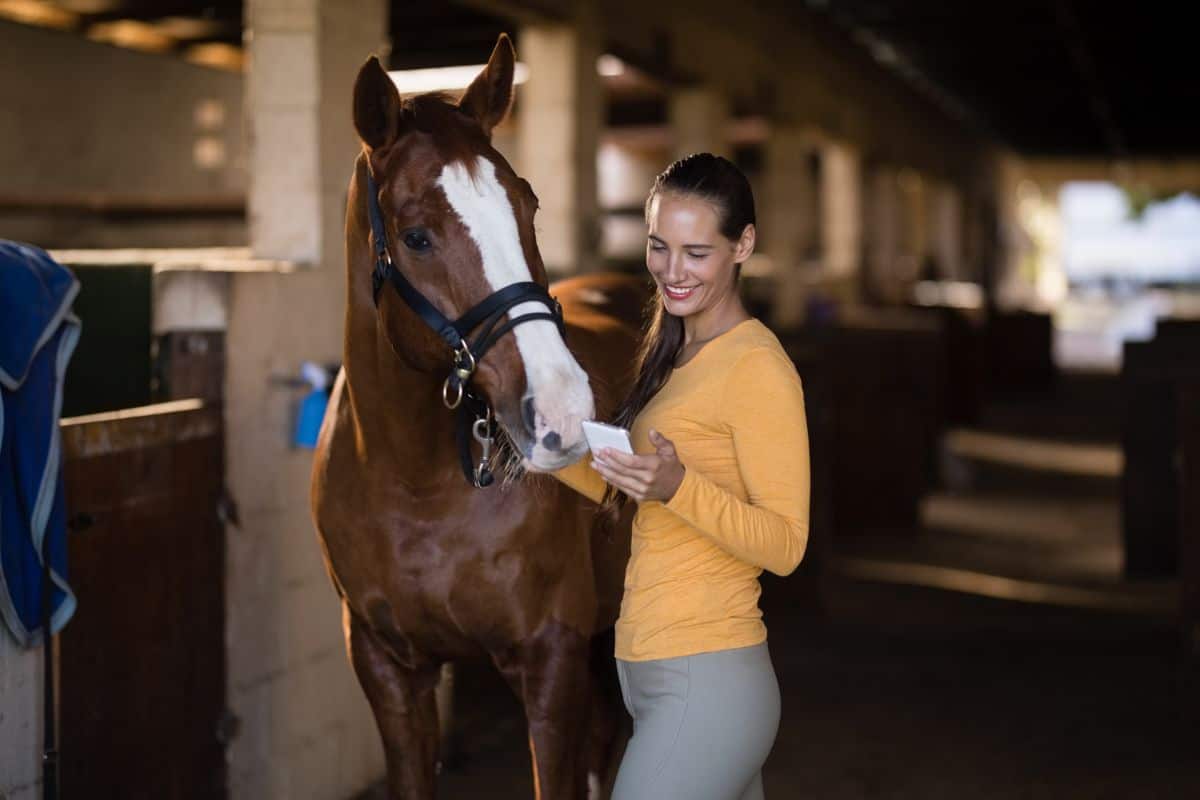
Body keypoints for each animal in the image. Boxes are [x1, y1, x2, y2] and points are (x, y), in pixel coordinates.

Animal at [312, 34, 648, 796]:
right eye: (415, 236)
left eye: (529, 205)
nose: (562, 410)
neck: (414, 483)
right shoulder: (387, 668)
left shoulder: (550, 660)